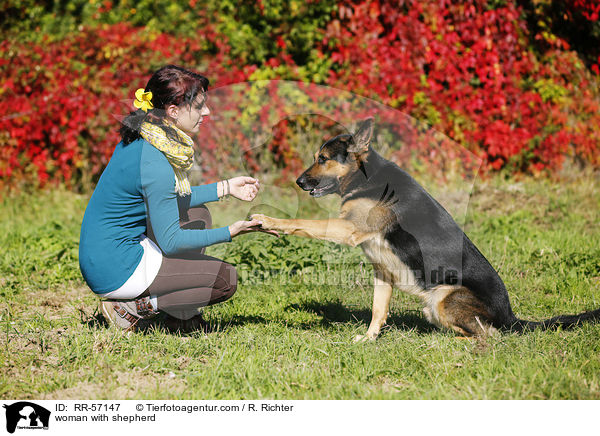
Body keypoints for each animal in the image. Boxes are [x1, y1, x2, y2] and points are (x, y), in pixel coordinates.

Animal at [251, 118, 596, 340]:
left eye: (323, 159)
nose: (298, 182)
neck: (365, 178)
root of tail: (512, 318)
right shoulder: (382, 271)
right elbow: (378, 310)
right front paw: (369, 339)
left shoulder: (347, 228)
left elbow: (303, 223)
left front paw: (269, 221)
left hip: (443, 299)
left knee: (489, 337)